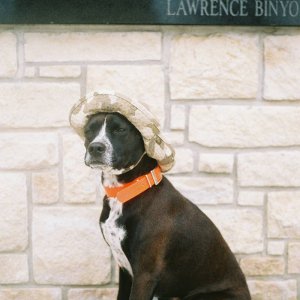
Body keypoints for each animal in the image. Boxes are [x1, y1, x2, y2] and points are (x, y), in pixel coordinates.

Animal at [82, 111, 251, 298]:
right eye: (89, 130)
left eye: (120, 129)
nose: (95, 147)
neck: (124, 192)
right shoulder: (125, 271)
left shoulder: (145, 274)